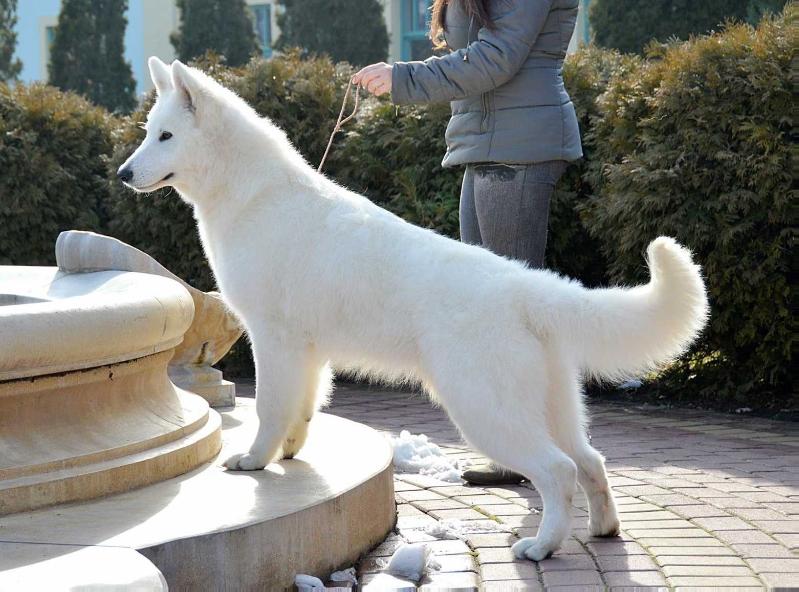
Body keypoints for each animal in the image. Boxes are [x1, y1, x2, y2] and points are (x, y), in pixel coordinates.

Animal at [117, 57, 708, 560]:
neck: (252, 195)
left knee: (559, 471)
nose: (123, 173)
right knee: (591, 462)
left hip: (483, 410)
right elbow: (301, 410)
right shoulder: (308, 352)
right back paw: (603, 529)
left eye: (166, 136)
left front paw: (255, 461)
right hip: (552, 407)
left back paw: (542, 546)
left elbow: (268, 408)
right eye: (149, 132)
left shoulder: (273, 338)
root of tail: (524, 287)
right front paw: (288, 455)